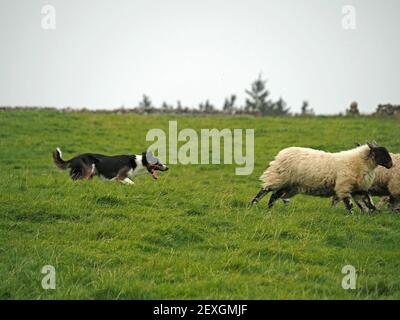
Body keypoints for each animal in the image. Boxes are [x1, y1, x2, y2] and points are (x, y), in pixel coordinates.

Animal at [252, 144, 392, 211]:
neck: (359, 162)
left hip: (288, 184)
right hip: (278, 177)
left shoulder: (359, 188)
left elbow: (367, 202)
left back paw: (270, 208)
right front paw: (352, 215)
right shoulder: (344, 186)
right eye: (381, 153)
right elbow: (349, 204)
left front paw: (372, 213)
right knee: (265, 190)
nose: (391, 164)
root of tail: (282, 153)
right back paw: (254, 204)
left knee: (274, 195)